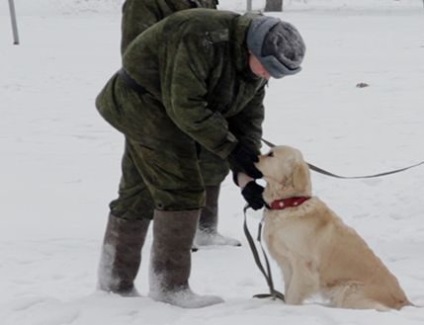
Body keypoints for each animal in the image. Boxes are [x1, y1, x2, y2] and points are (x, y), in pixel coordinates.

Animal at [255, 144, 410, 308]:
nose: (253, 157)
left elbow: (292, 295)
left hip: (347, 290)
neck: (289, 203)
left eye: (271, 155)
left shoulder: (303, 265)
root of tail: (405, 301)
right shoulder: (287, 265)